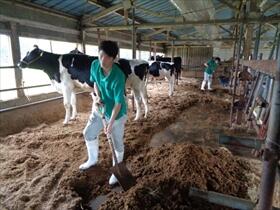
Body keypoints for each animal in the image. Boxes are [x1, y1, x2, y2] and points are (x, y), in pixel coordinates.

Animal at [18, 45, 150, 124]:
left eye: (32, 54)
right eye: (27, 52)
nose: (20, 63)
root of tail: (141, 62)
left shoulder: (66, 86)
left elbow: (66, 104)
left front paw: (66, 121)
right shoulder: (72, 87)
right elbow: (73, 102)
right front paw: (73, 117)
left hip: (134, 85)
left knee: (134, 100)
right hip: (137, 86)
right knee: (141, 99)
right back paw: (140, 116)